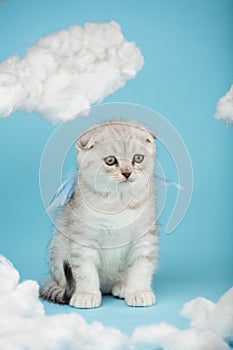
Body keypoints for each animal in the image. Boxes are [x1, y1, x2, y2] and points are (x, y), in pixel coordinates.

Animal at [41, 121, 159, 308]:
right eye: (110, 161)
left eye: (138, 158)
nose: (127, 173)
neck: (118, 202)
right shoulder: (83, 239)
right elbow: (85, 271)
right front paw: (86, 294)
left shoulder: (144, 237)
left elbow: (142, 267)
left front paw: (138, 292)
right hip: (58, 247)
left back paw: (122, 286)